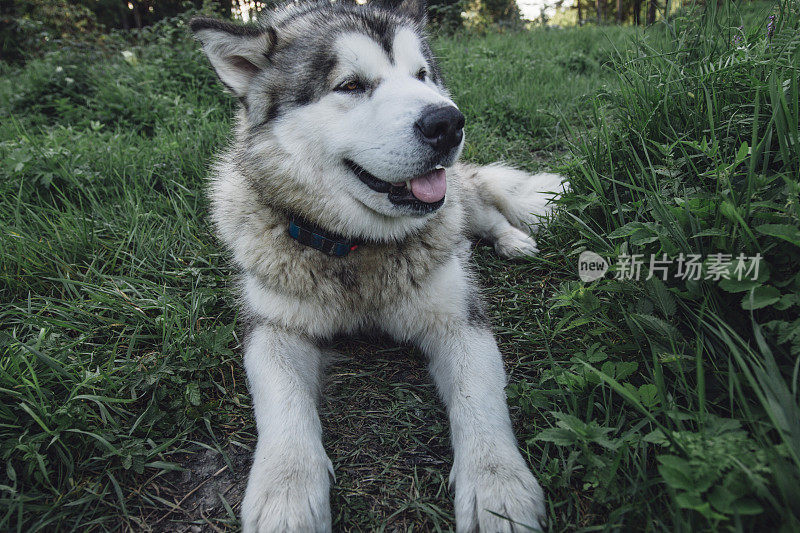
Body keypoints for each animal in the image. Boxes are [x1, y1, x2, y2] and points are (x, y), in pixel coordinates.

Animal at [190, 1, 560, 528]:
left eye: (422, 75)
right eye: (350, 85)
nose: (447, 122)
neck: (357, 249)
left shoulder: (458, 320)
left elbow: (481, 398)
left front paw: (499, 489)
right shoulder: (275, 327)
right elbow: (281, 401)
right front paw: (286, 491)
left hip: (462, 200)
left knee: (483, 211)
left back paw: (512, 239)